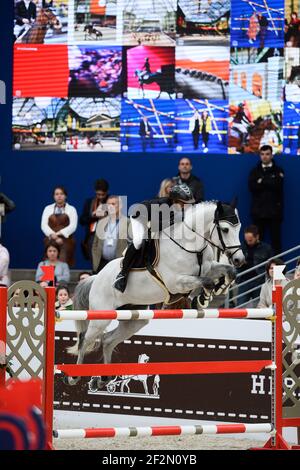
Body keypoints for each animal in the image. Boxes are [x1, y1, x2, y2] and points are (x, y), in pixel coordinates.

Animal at [67, 200, 244, 388]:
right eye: (225, 229)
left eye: (239, 227)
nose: (240, 259)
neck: (193, 248)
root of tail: (96, 277)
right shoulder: (176, 282)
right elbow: (207, 282)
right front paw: (202, 298)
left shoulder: (209, 268)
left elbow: (228, 271)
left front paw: (215, 290)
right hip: (101, 316)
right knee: (85, 339)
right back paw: (74, 376)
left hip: (135, 319)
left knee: (107, 340)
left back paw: (104, 378)